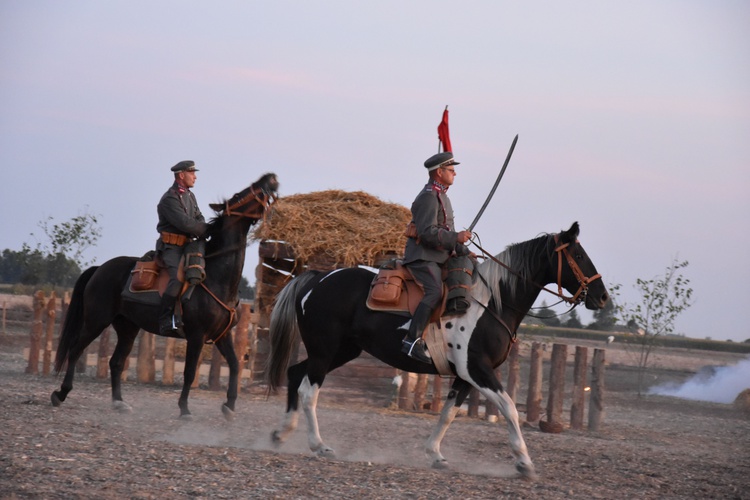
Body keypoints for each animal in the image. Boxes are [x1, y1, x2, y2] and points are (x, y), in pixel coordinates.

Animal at [51, 172, 280, 418]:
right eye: (240, 195)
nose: (269, 178)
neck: (216, 278)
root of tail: (99, 269)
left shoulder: (222, 335)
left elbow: (235, 365)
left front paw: (229, 406)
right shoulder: (197, 336)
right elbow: (190, 372)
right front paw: (184, 409)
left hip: (127, 328)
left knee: (116, 362)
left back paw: (119, 402)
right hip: (97, 321)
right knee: (76, 349)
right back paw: (60, 394)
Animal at [268, 222, 608, 476]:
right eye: (578, 254)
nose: (602, 296)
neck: (490, 304)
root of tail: (317, 278)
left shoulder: (465, 377)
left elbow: (448, 414)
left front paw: (435, 455)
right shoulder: (478, 370)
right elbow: (509, 408)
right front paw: (524, 463)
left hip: (339, 351)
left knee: (295, 374)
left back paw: (281, 433)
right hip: (325, 351)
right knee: (308, 391)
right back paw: (319, 445)